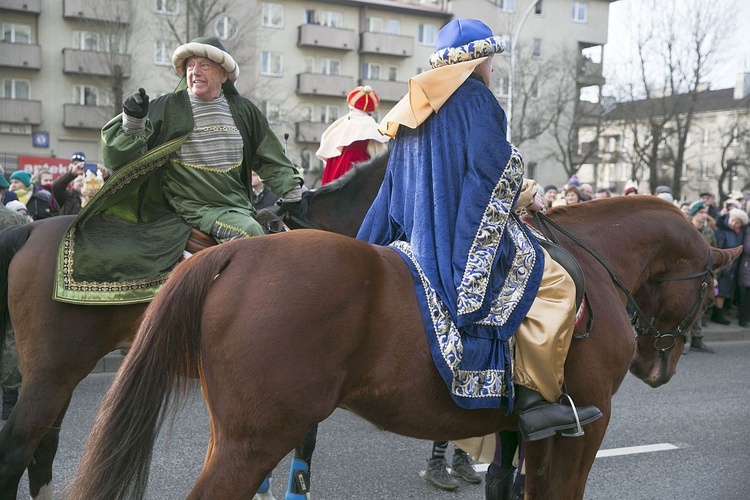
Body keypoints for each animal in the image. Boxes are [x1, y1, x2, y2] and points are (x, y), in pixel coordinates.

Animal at [69, 196, 740, 500]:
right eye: (708, 287)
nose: (659, 365)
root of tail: (234, 251)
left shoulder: (525, 429)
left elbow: (509, 483)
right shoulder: (585, 426)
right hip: (255, 438)